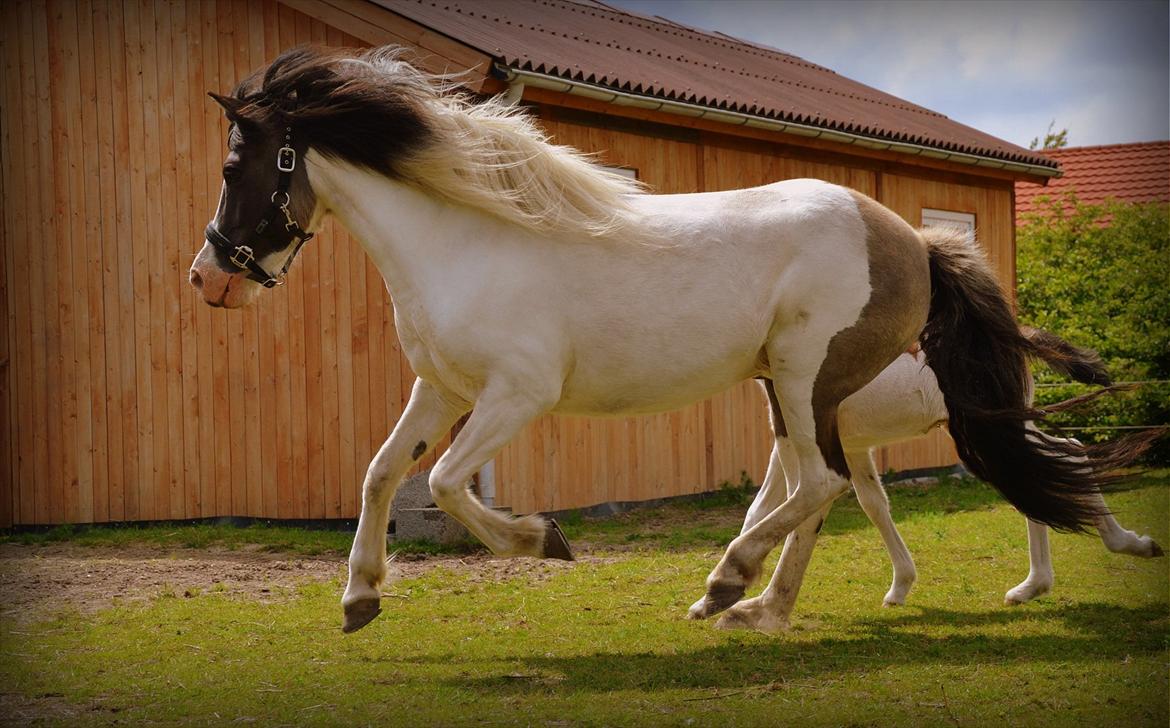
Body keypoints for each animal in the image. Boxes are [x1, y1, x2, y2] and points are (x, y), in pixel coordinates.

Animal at [730, 330, 1160, 632]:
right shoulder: (852, 445)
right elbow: (870, 503)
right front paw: (900, 587)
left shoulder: (800, 437)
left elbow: (779, 508)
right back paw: (1033, 587)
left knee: (1063, 457)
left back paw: (1123, 547)